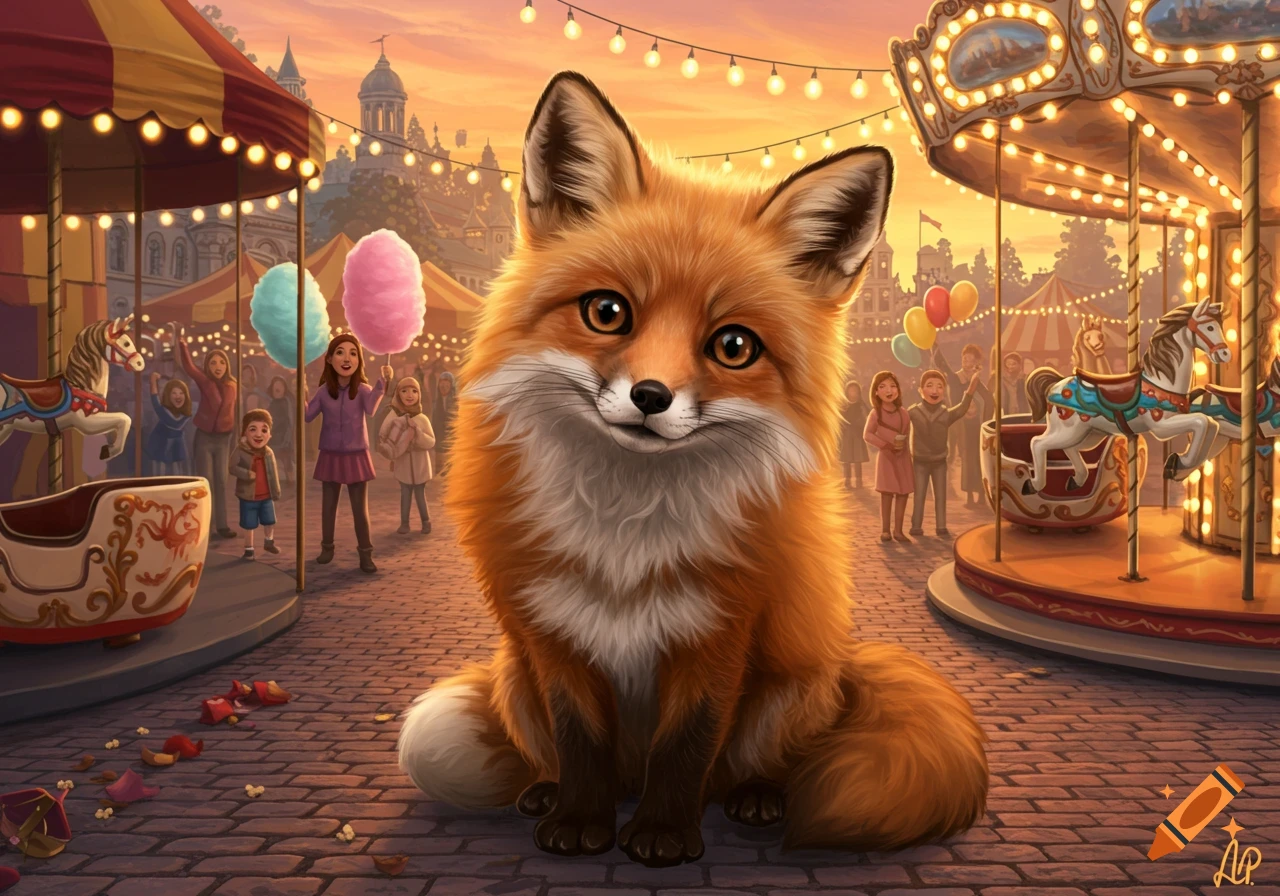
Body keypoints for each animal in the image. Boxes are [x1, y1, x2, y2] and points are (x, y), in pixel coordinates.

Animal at [398, 71, 988, 867]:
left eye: (733, 346)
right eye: (607, 311)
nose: (651, 397)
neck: (624, 525)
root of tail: (840, 667)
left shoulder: (719, 633)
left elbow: (687, 746)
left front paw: (663, 835)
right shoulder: (554, 633)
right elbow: (578, 740)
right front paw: (578, 821)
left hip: (789, 688)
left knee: (753, 762)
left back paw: (758, 798)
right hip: (515, 677)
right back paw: (546, 792)